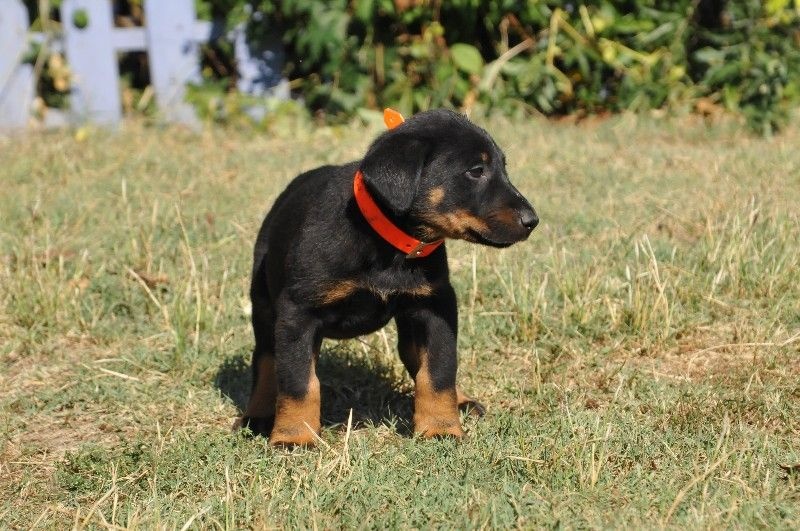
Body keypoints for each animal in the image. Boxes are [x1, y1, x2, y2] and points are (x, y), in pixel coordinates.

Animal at [240, 109, 538, 446]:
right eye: (476, 171)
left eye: (503, 167)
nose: (532, 220)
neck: (388, 244)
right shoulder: (298, 312)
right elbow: (298, 381)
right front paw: (294, 436)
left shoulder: (435, 306)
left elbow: (439, 370)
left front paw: (440, 427)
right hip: (264, 304)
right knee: (266, 358)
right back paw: (258, 414)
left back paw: (462, 401)